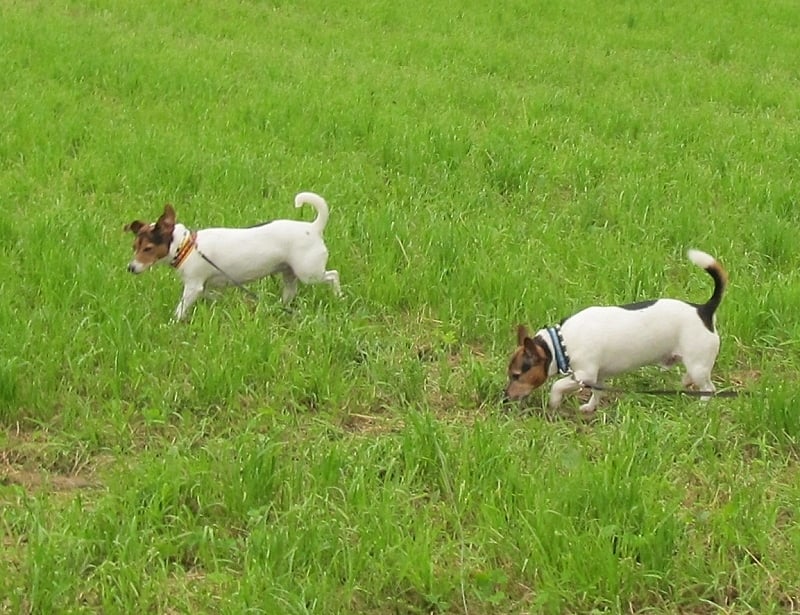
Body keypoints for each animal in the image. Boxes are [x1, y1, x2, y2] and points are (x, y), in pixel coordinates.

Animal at [124, 192, 341, 321]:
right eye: (134, 246)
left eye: (148, 249)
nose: (130, 268)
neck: (186, 247)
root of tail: (314, 228)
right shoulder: (202, 286)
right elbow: (210, 295)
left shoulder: (193, 286)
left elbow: (182, 307)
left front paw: (173, 322)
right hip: (289, 272)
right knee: (290, 292)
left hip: (310, 272)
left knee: (333, 275)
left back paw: (339, 296)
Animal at [504, 249, 726, 412]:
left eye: (516, 375)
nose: (505, 397)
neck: (560, 344)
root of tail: (704, 310)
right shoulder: (597, 377)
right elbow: (597, 392)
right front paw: (590, 407)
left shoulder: (585, 375)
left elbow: (557, 385)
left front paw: (554, 402)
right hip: (694, 363)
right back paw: (686, 381)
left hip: (698, 364)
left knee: (709, 389)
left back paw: (701, 407)